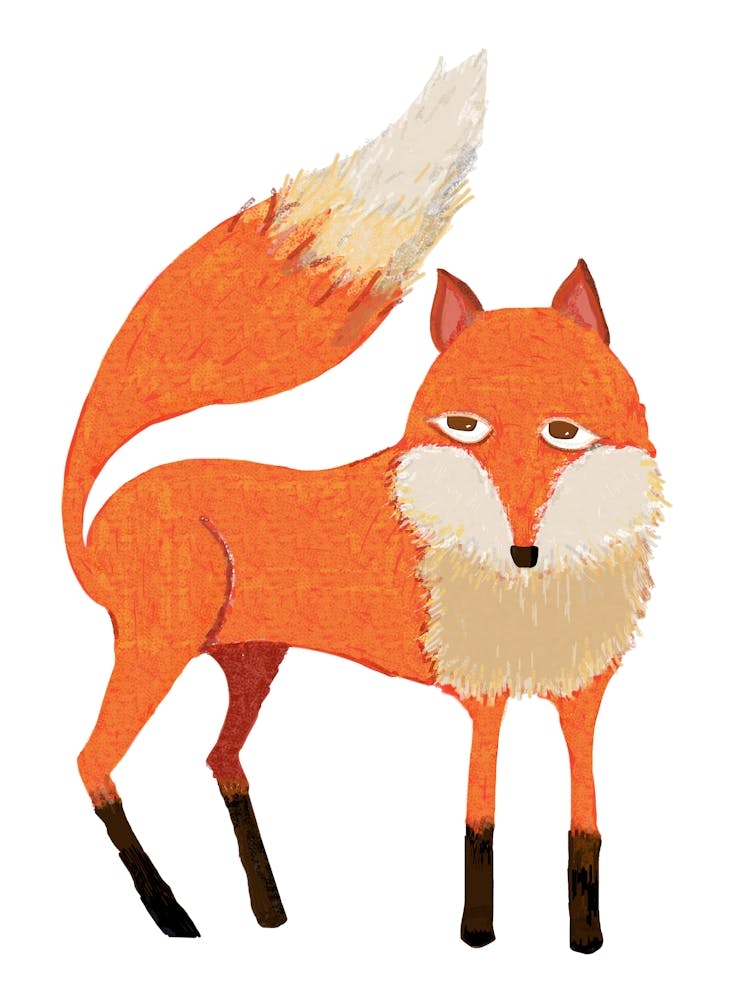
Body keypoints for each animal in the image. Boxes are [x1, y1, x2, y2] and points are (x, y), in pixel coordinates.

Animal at [64, 51, 663, 953]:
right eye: (464, 427)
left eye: (564, 432)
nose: (523, 551)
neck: (538, 594)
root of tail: (101, 519)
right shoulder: (483, 697)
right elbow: (481, 826)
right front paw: (478, 935)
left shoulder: (582, 696)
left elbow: (585, 831)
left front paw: (586, 941)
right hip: (160, 648)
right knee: (93, 762)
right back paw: (173, 913)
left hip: (252, 661)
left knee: (220, 760)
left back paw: (269, 908)